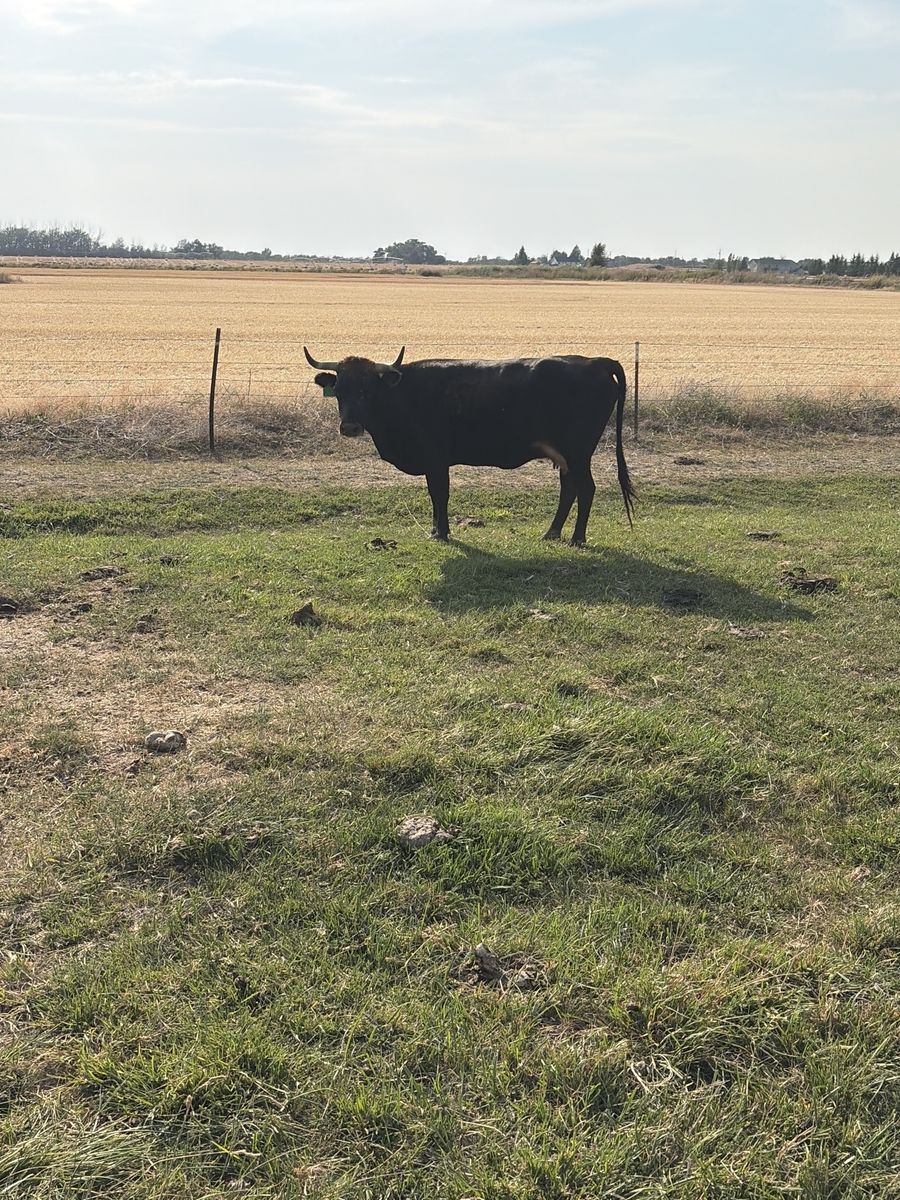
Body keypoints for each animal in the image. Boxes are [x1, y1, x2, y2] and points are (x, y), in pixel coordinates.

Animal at [303, 346, 635, 545]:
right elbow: (434, 496)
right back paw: (551, 533)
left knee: (586, 488)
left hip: (578, 452)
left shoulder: (436, 459)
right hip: (565, 456)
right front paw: (436, 529)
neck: (402, 394)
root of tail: (595, 362)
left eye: (368, 390)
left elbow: (439, 494)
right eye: (340, 390)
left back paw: (577, 538)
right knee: (569, 489)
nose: (350, 427)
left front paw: (441, 533)